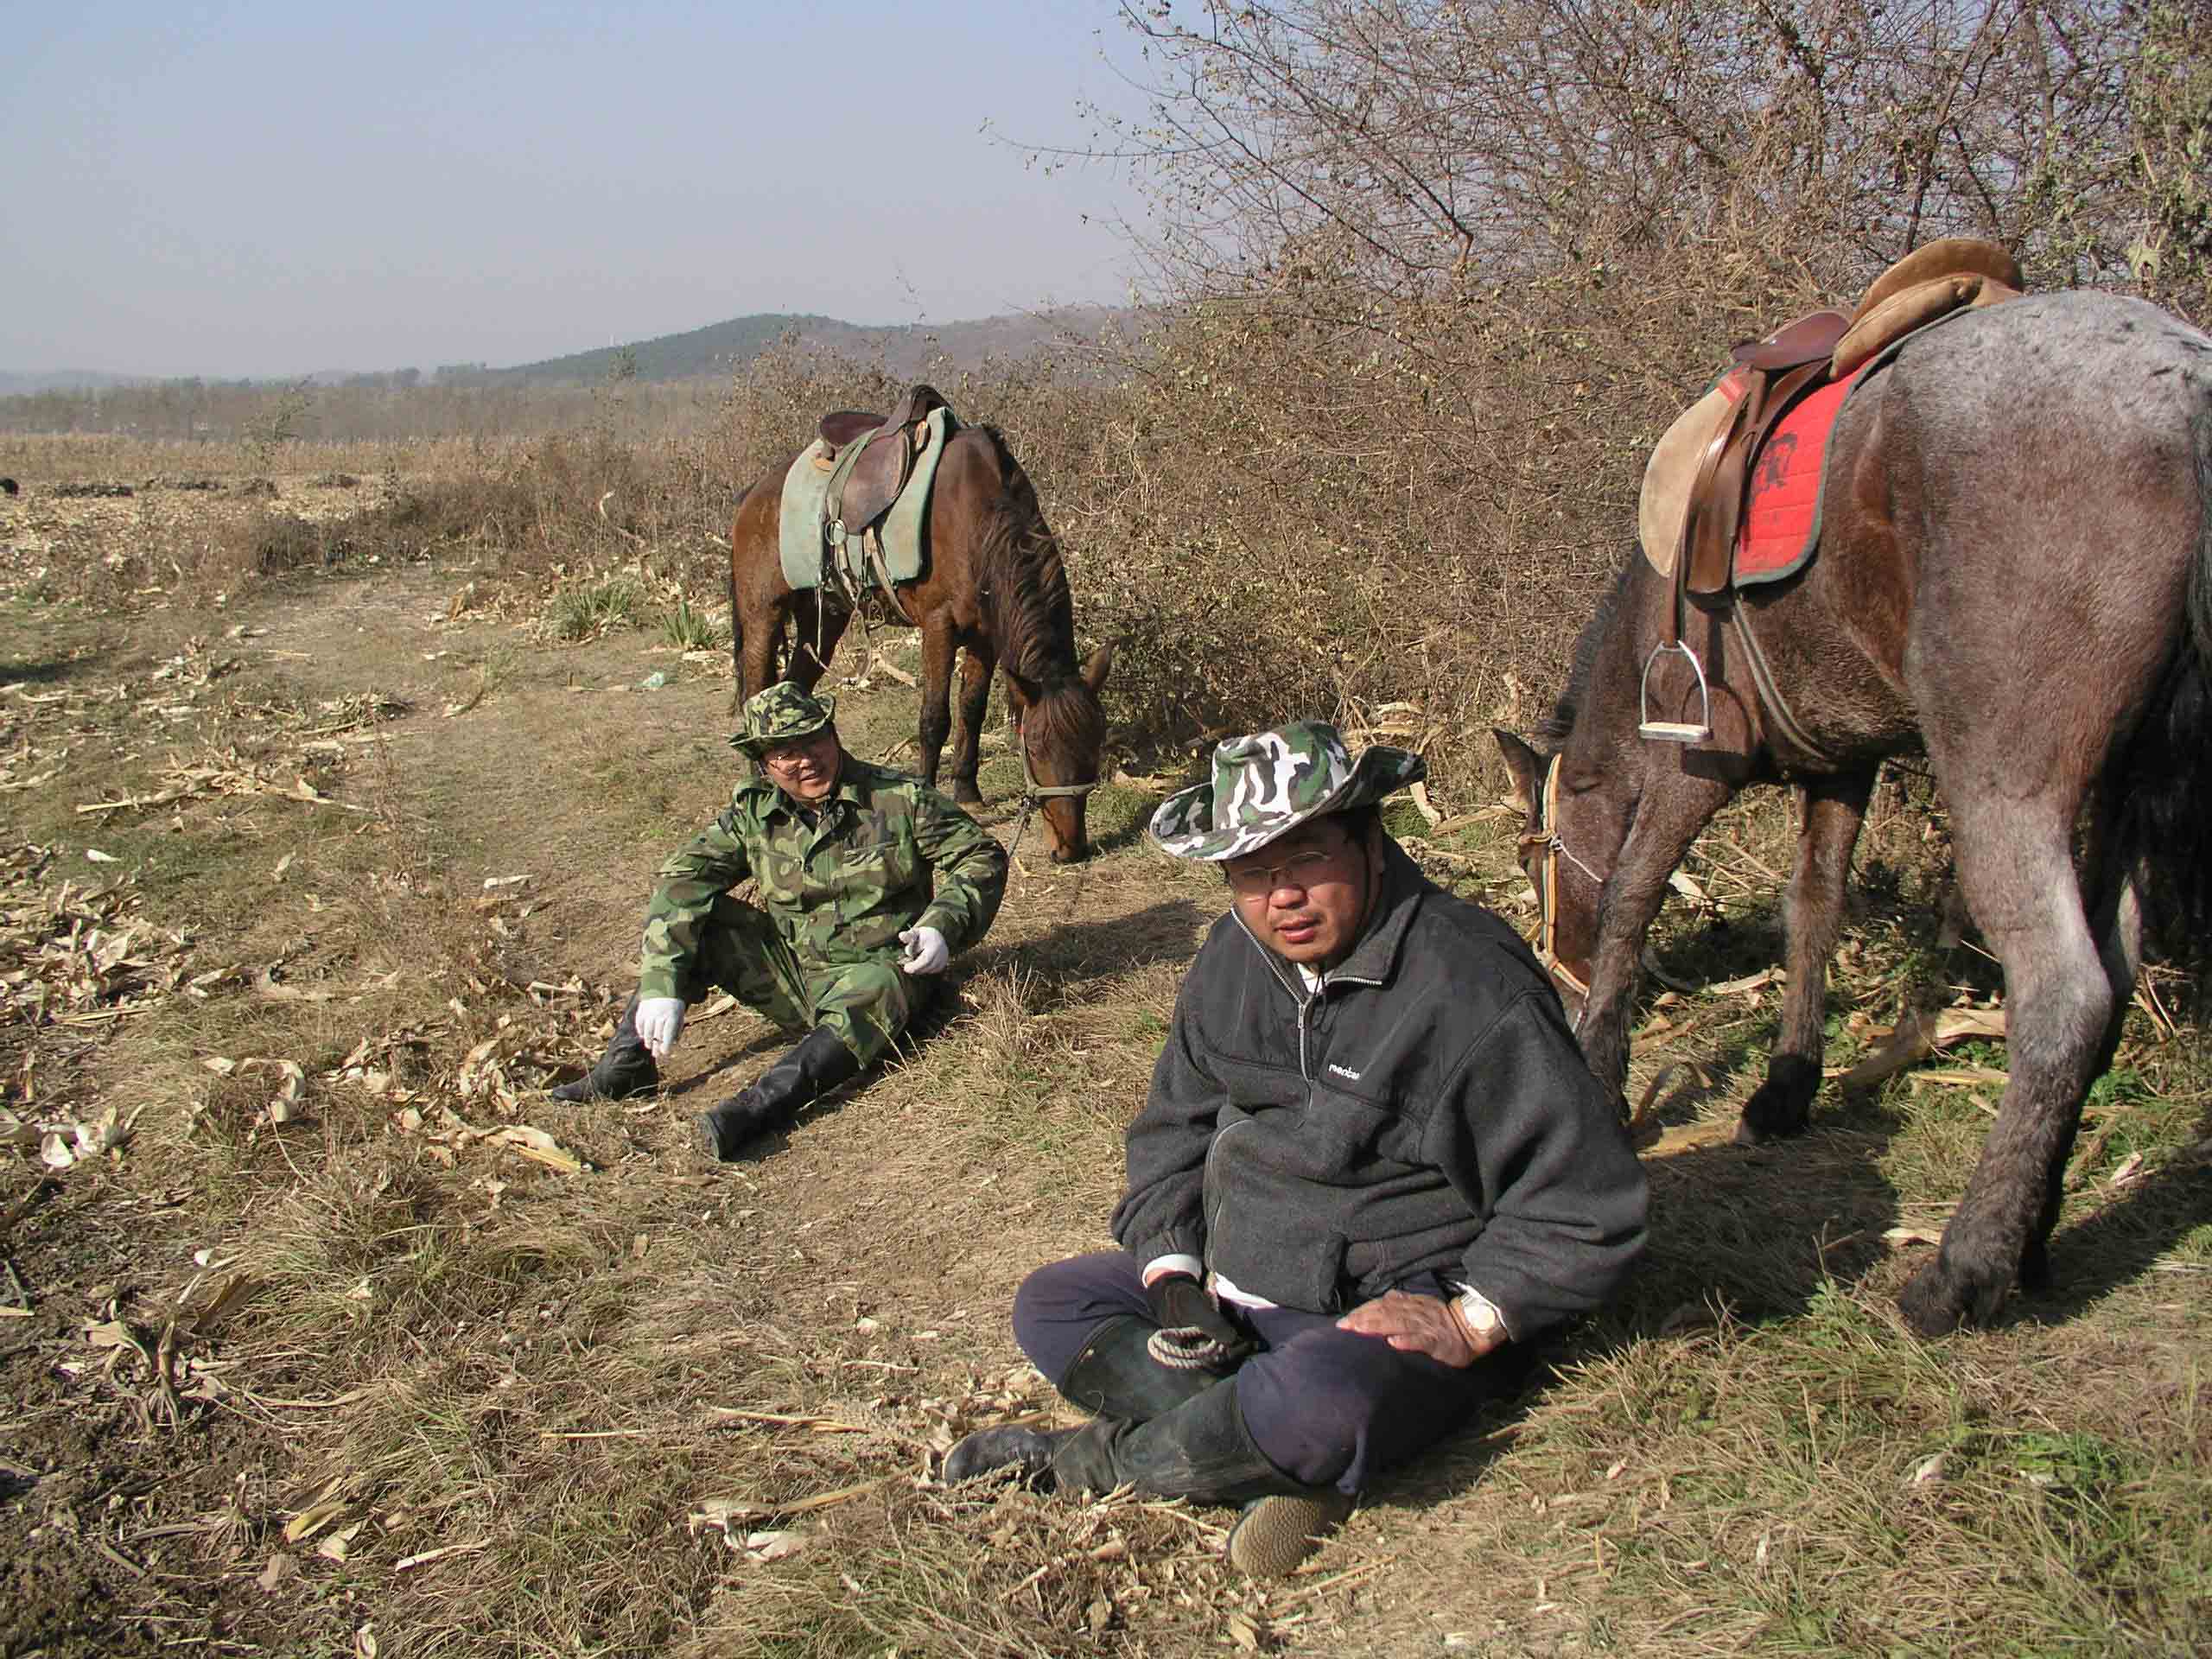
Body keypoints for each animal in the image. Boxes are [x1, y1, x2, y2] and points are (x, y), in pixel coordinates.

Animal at [729, 422, 1106, 862]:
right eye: (1036, 749)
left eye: (1094, 747)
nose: (1071, 849)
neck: (977, 518)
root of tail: (752, 495)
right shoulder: (939, 626)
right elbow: (934, 718)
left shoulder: (985, 637)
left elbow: (971, 709)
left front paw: (968, 790)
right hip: (763, 616)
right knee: (755, 692)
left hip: (822, 621)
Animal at [1495, 291, 2212, 1336]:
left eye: (1531, 858)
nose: (1560, 976)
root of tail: (2188, 389)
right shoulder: (1842, 767)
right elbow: (1814, 912)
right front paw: (1787, 1085)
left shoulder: (1692, 764)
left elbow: (1632, 894)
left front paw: (1600, 1066)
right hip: (2118, 795)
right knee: (2113, 983)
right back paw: (2033, 1237)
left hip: (2005, 784)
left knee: (2066, 996)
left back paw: (1964, 1269)